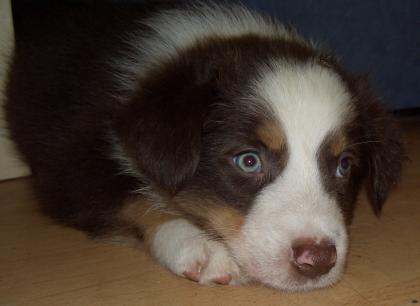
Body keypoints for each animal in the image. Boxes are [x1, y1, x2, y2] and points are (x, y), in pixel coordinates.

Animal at [4, 0, 404, 292]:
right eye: (248, 161)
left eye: (344, 165)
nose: (317, 261)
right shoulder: (67, 167)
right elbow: (131, 197)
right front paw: (201, 246)